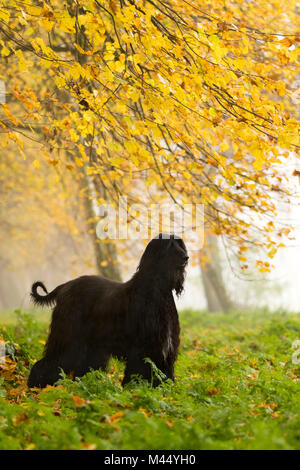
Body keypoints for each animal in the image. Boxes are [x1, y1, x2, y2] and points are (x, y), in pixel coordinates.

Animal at [27, 233, 188, 388]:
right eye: (170, 245)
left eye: (180, 244)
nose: (186, 257)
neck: (158, 291)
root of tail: (64, 286)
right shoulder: (144, 347)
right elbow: (139, 372)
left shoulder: (165, 347)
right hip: (68, 335)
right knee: (50, 361)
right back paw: (37, 386)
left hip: (91, 344)